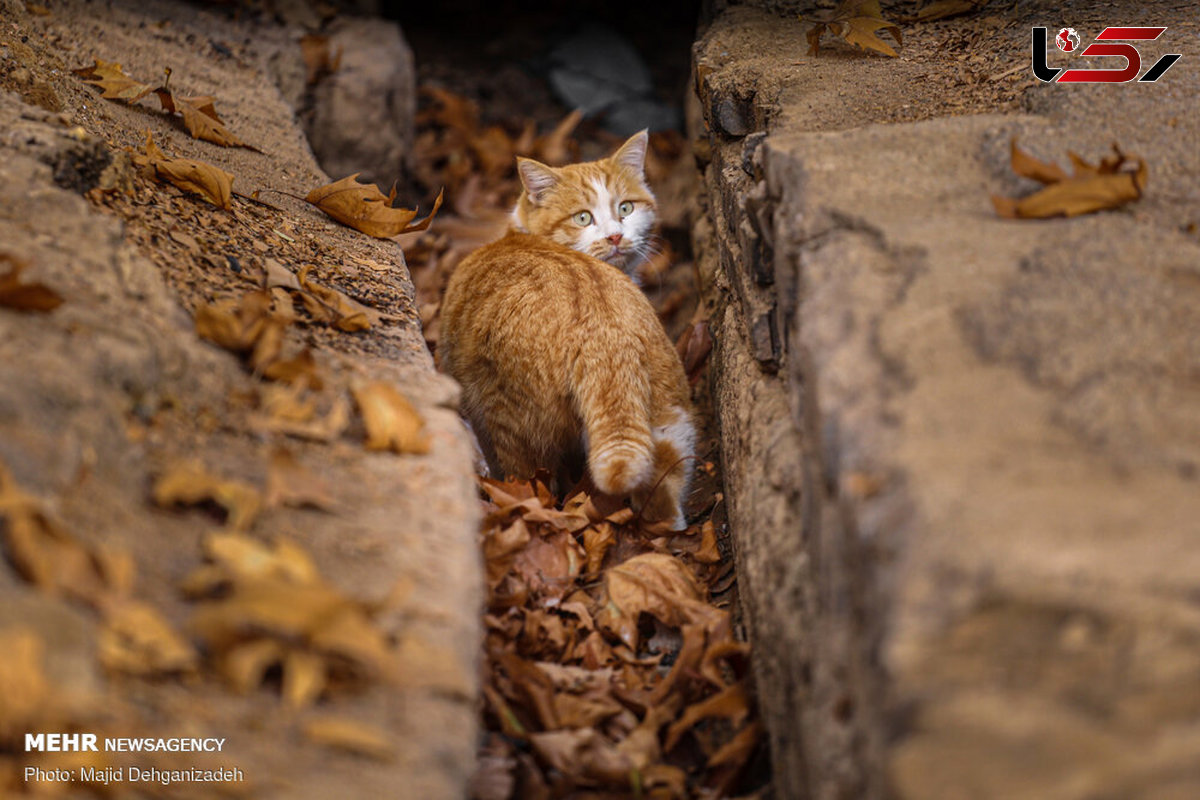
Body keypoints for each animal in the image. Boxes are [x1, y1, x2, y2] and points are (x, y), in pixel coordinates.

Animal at [439, 131, 696, 527]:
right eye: (583, 217)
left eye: (625, 209)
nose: (615, 237)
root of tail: (605, 331)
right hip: (667, 413)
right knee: (664, 495)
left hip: (514, 427)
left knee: (527, 478)